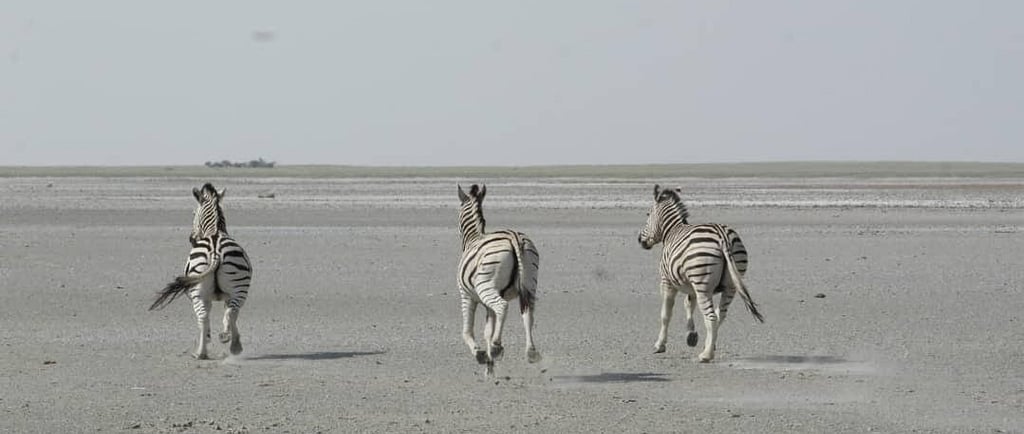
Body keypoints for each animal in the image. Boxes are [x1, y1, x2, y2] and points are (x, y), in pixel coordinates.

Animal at [149, 183, 253, 359]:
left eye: (193, 213)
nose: (191, 238)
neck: (215, 230)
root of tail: (216, 252)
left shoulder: (206, 297)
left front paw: (212, 336)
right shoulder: (225, 296)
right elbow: (228, 314)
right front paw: (227, 336)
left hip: (197, 292)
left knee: (203, 316)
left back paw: (202, 352)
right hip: (239, 288)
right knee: (231, 312)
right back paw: (231, 345)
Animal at [457, 184, 541, 375]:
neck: (474, 236)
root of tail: (514, 237)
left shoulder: (466, 295)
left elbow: (467, 331)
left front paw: (482, 355)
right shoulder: (486, 303)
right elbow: (488, 330)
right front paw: (490, 368)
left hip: (485, 287)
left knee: (502, 306)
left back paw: (497, 347)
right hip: (530, 285)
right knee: (528, 314)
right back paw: (531, 352)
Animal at [638, 184, 763, 362]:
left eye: (648, 214)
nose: (639, 240)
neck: (671, 231)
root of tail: (722, 235)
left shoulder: (667, 281)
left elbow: (665, 314)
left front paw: (659, 345)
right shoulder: (691, 286)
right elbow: (689, 305)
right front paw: (691, 335)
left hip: (703, 285)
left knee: (711, 317)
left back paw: (706, 355)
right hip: (730, 286)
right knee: (720, 315)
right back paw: (708, 345)